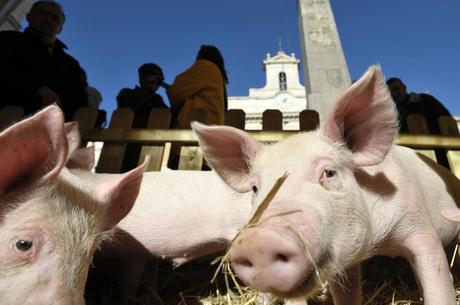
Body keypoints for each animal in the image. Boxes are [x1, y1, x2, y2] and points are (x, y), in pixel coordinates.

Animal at [192, 64, 460, 304]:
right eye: (255, 189)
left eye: (328, 173)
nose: (258, 241)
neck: (377, 244)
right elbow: (346, 295)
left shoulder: (420, 226)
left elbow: (437, 280)